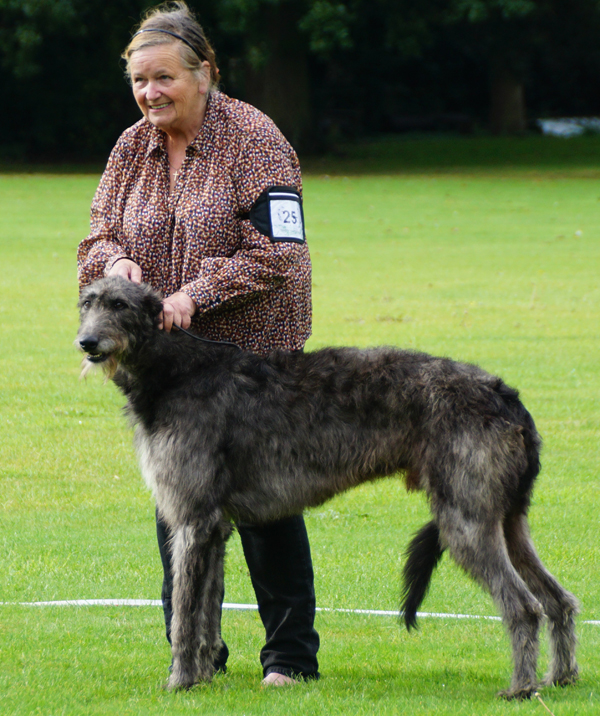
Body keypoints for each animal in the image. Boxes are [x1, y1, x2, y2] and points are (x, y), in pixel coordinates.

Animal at [77, 276, 580, 704]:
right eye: (87, 303)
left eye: (120, 305)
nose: (87, 343)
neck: (177, 370)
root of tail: (507, 396)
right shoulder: (214, 528)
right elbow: (206, 611)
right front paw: (201, 676)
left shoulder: (192, 520)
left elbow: (184, 613)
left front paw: (179, 681)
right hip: (508, 519)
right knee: (558, 599)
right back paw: (561, 676)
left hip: (466, 520)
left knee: (524, 607)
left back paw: (520, 688)